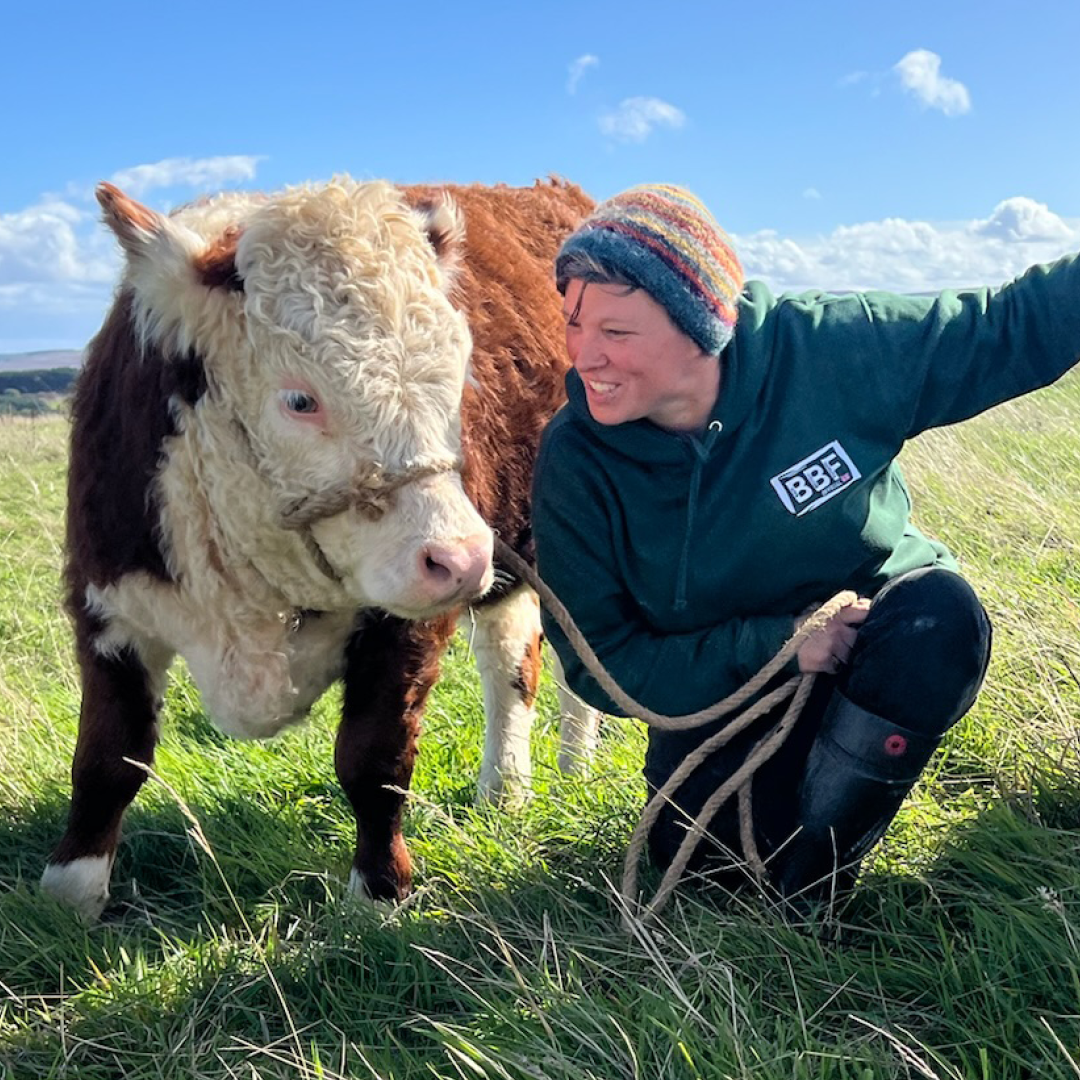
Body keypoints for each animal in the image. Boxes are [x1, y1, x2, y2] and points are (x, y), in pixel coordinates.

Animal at [41, 176, 600, 922]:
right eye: (300, 400)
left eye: (460, 375)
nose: (460, 558)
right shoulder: (108, 603)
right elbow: (107, 757)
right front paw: (68, 898)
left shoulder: (405, 626)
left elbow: (374, 758)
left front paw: (378, 895)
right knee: (511, 664)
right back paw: (504, 792)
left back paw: (572, 768)